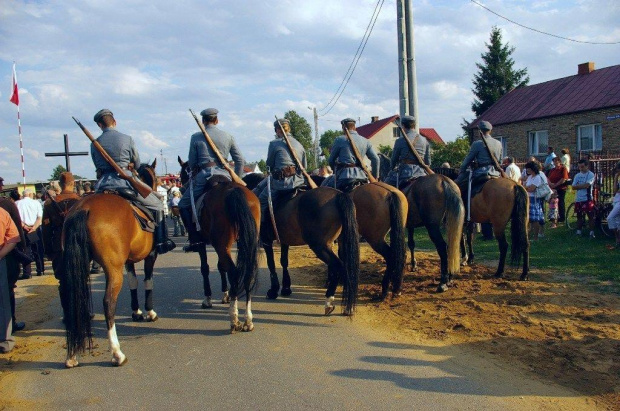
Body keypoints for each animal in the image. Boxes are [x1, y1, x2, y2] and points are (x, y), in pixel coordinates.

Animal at [63, 160, 162, 366]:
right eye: (155, 178)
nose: (157, 190)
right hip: (113, 270)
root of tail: (84, 208)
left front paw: (136, 312)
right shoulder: (151, 255)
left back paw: (72, 355)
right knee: (108, 302)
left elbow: (133, 282)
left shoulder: (128, 261)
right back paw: (117, 353)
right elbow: (148, 281)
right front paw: (149, 312)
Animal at [178, 158, 260, 332]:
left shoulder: (203, 244)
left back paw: (234, 318)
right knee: (247, 272)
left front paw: (208, 299)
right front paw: (225, 294)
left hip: (221, 245)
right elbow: (221, 267)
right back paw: (248, 319)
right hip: (245, 243)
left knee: (234, 272)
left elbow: (205, 268)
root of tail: (233, 191)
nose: (182, 187)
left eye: (182, 174)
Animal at [242, 174, 358, 316]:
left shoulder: (266, 240)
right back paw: (348, 306)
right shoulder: (284, 240)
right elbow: (284, 262)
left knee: (337, 266)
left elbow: (271, 264)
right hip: (338, 243)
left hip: (319, 246)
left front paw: (273, 290)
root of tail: (338, 195)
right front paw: (286, 288)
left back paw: (329, 302)